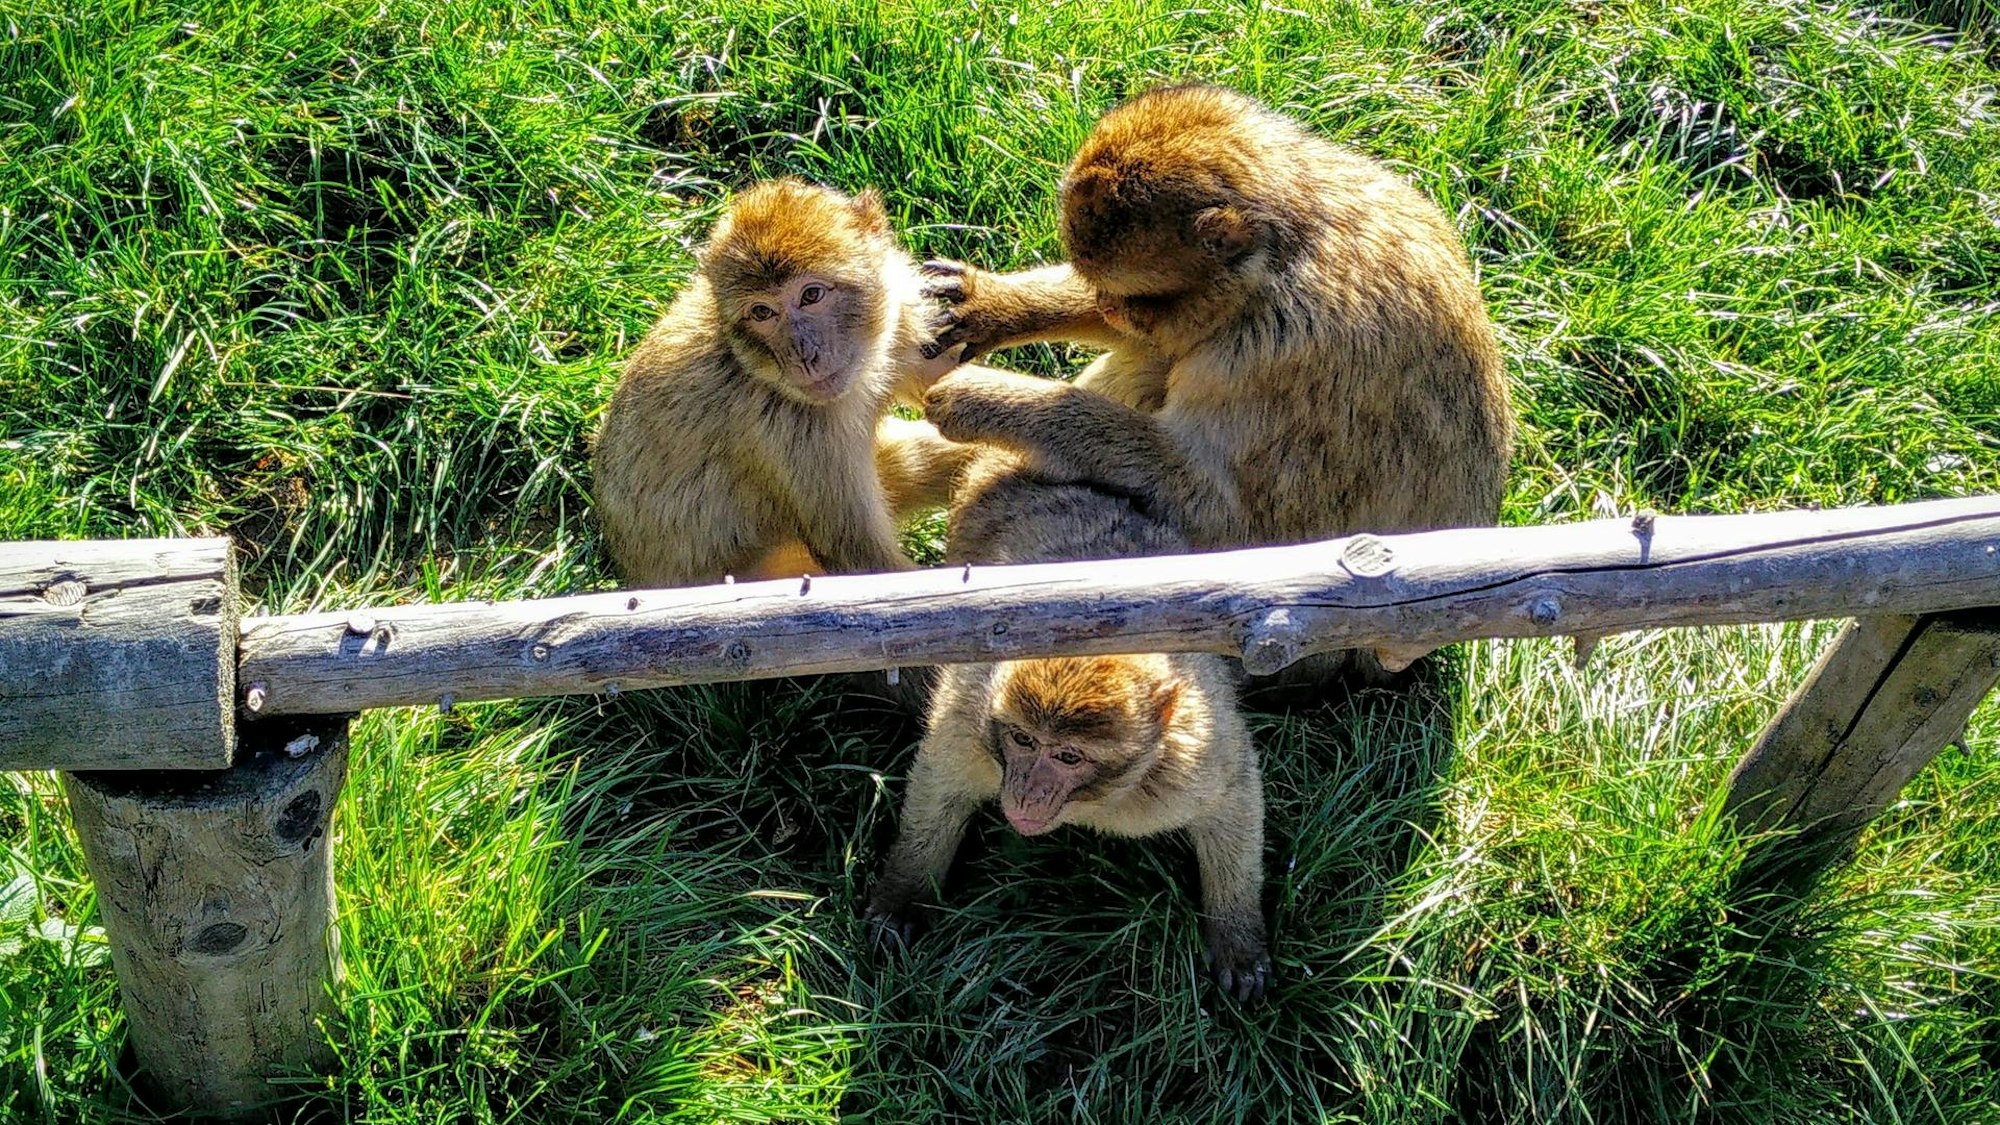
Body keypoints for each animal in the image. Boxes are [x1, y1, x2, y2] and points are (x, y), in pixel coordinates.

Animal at [590, 178, 974, 590]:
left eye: (811, 294)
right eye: (762, 312)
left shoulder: (899, 317)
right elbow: (862, 560)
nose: (803, 355)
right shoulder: (791, 434)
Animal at [865, 448, 1272, 1002]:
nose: (1026, 794)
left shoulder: (1190, 763)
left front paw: (1238, 935)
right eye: (1023, 740)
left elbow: (1234, 798)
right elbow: (940, 785)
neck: (1094, 802)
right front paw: (903, 893)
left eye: (1068, 756)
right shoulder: (968, 720)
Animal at [917, 84, 1515, 686]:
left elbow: (1225, 517)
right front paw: (992, 306)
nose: (1110, 307)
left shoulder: (1278, 358)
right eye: (1106, 290)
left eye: (1137, 296)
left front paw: (983, 399)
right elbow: (1158, 348)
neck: (1279, 259)